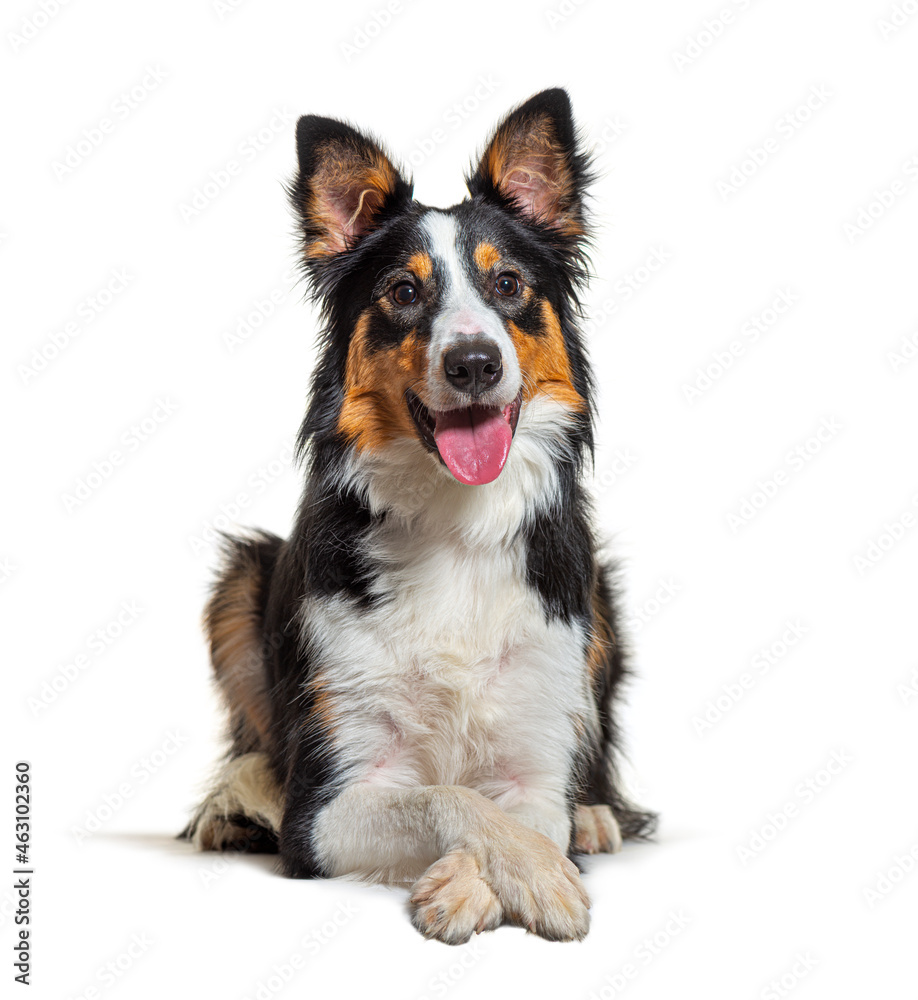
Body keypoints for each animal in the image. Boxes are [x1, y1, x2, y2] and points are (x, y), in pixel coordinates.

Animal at [181, 88, 656, 944]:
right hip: (239, 578)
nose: (474, 363)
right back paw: (235, 802)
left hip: (597, 596)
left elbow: (521, 808)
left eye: (509, 286)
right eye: (404, 291)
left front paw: (515, 872)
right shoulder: (327, 804)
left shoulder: (535, 762)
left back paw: (598, 814)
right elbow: (445, 796)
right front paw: (522, 878)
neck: (456, 525)